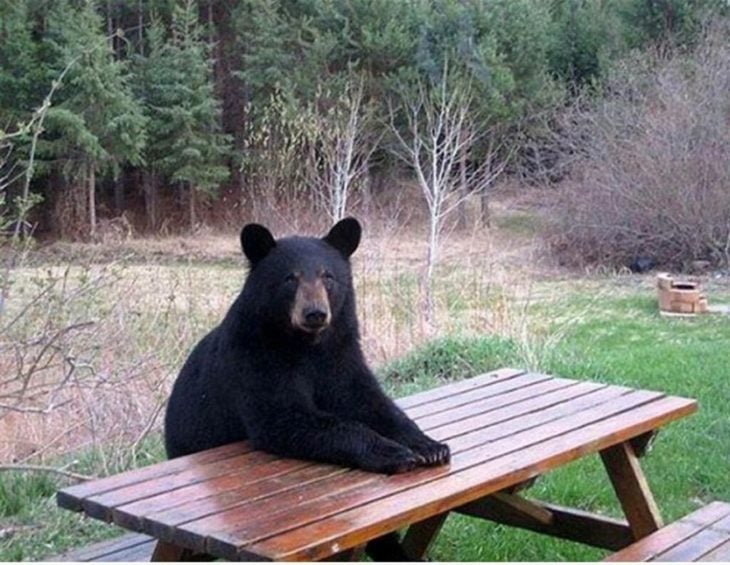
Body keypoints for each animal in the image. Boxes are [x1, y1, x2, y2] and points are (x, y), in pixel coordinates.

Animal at [164, 218, 446, 556]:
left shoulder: (340, 355)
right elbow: (285, 417)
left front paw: (429, 446)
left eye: (328, 276)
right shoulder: (255, 359)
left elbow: (368, 401)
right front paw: (394, 452)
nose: (315, 313)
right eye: (290, 279)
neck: (306, 345)